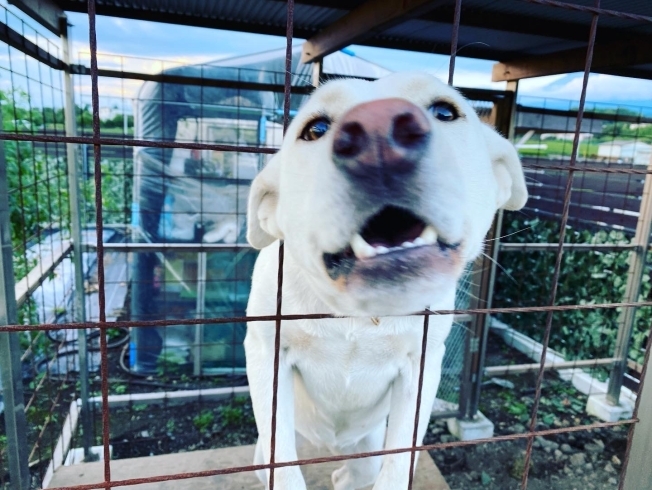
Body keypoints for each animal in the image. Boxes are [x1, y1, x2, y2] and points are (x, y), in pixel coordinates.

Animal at [246, 70, 528, 490]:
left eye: (445, 111)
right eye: (316, 128)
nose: (378, 130)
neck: (358, 315)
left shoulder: (422, 367)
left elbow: (399, 460)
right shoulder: (267, 355)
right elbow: (282, 462)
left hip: (367, 441)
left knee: (362, 467)